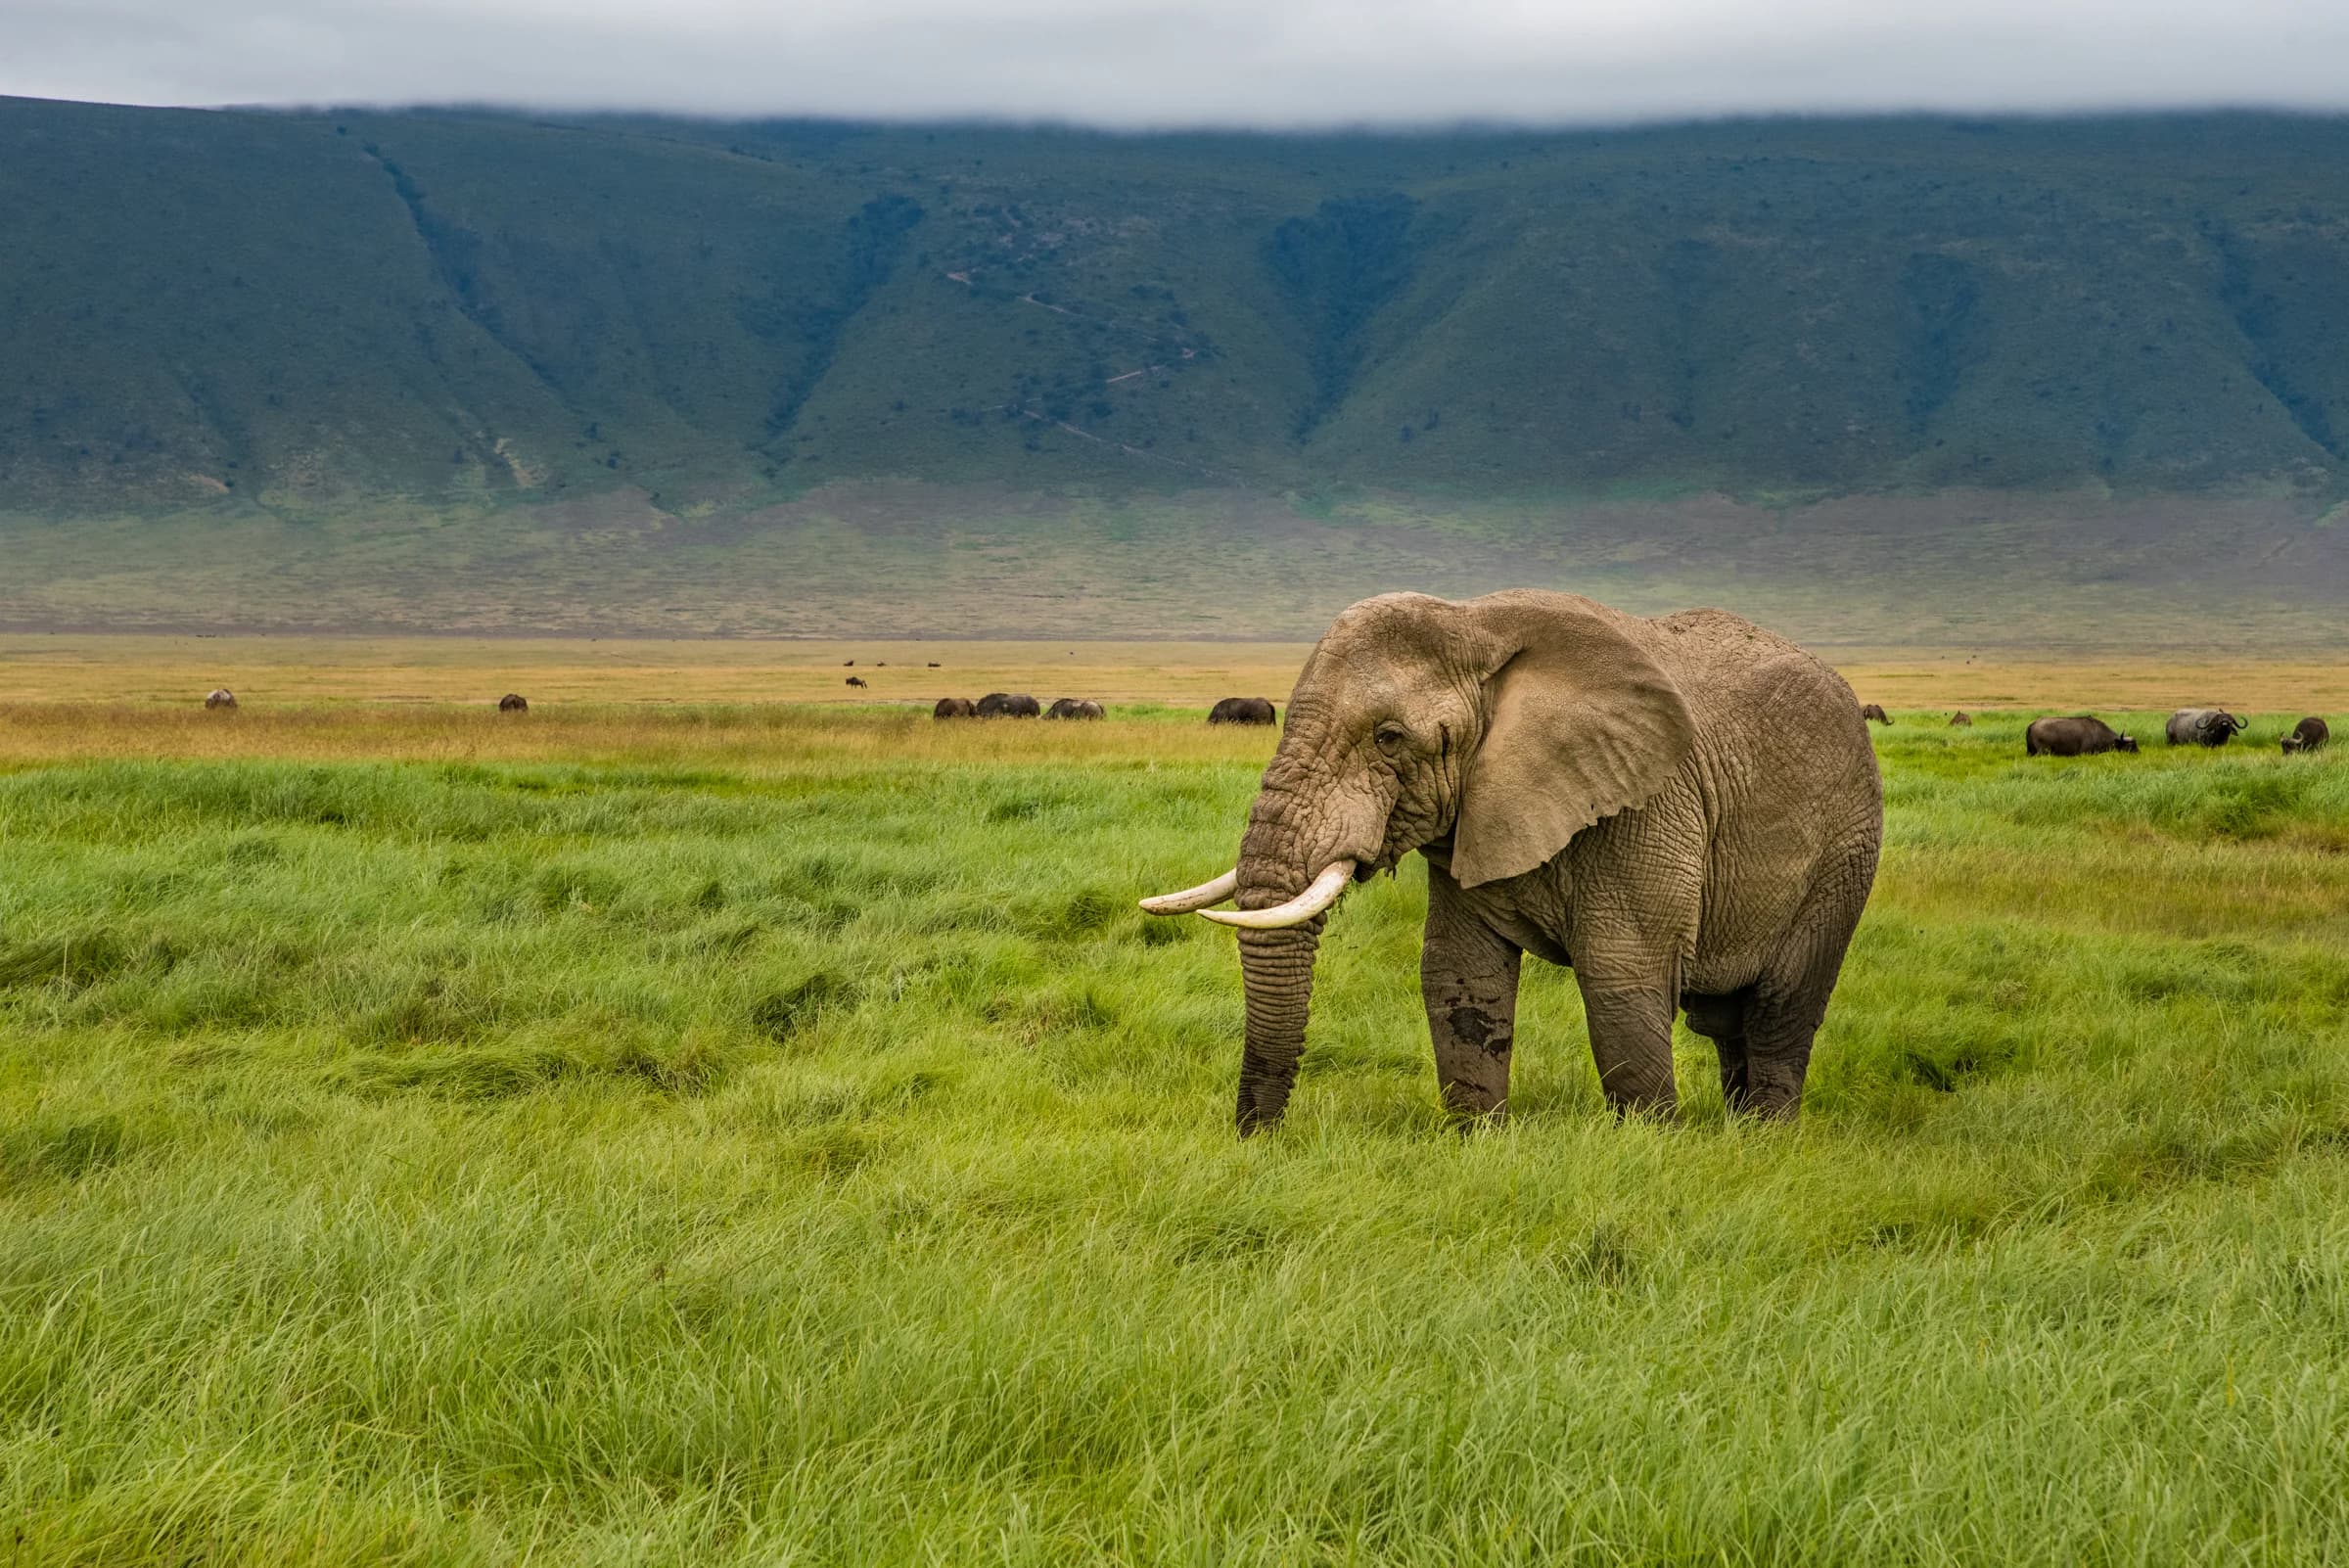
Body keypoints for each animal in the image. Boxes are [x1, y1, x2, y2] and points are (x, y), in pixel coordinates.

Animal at [1141, 590, 1883, 1134]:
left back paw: (1766, 1137)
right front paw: (1479, 1142)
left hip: (1845, 849)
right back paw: (1738, 1133)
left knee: (1780, 1010)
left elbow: (1622, 976)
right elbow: (1459, 976)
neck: (1475, 623)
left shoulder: (1650, 800)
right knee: (1724, 1020)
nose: (1255, 1139)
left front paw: (1650, 1147)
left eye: (1389, 739)